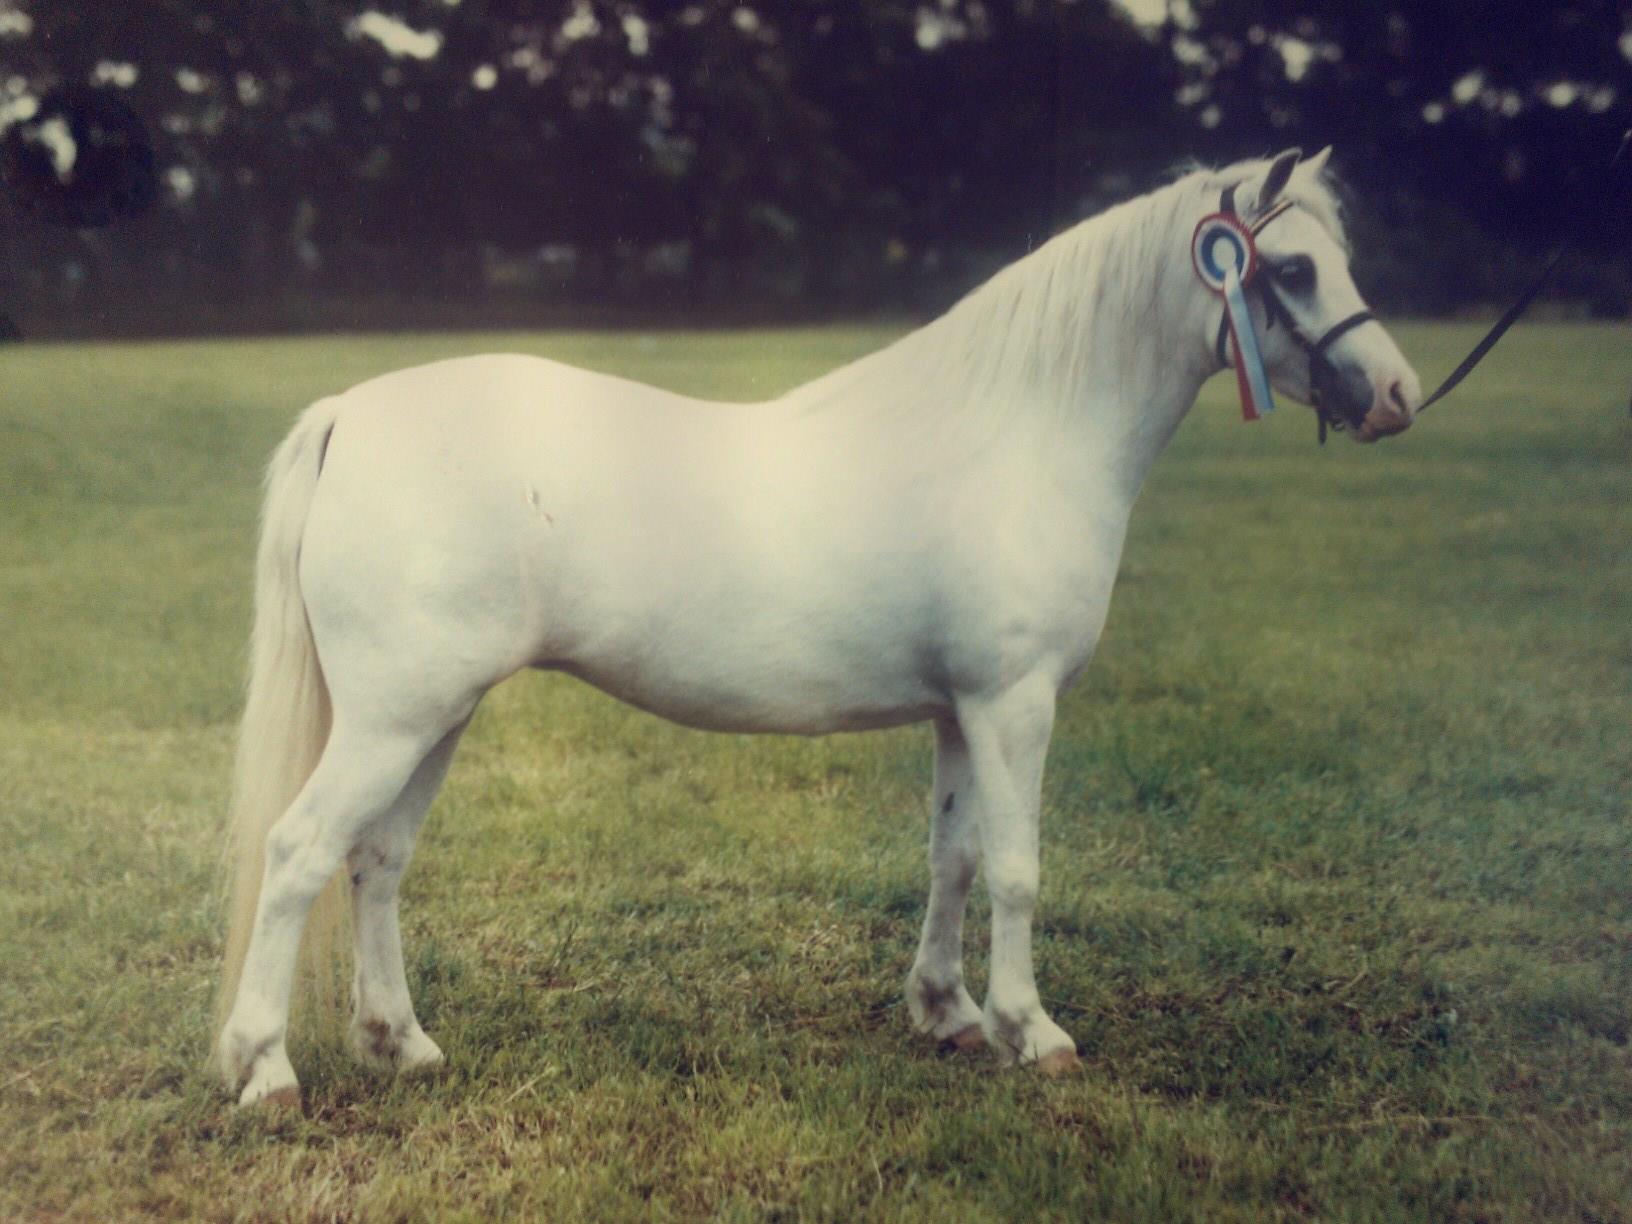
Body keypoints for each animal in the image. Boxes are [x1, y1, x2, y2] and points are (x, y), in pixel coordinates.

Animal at [213, 146, 1416, 1109]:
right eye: (1292, 270)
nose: (1397, 396)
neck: (1022, 432)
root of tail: (351, 415)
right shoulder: (1015, 703)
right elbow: (1019, 867)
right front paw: (1033, 1033)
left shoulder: (961, 711)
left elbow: (955, 857)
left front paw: (947, 1012)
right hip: (393, 719)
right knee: (299, 852)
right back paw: (266, 1071)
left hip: (434, 713)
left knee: (376, 859)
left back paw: (400, 1044)